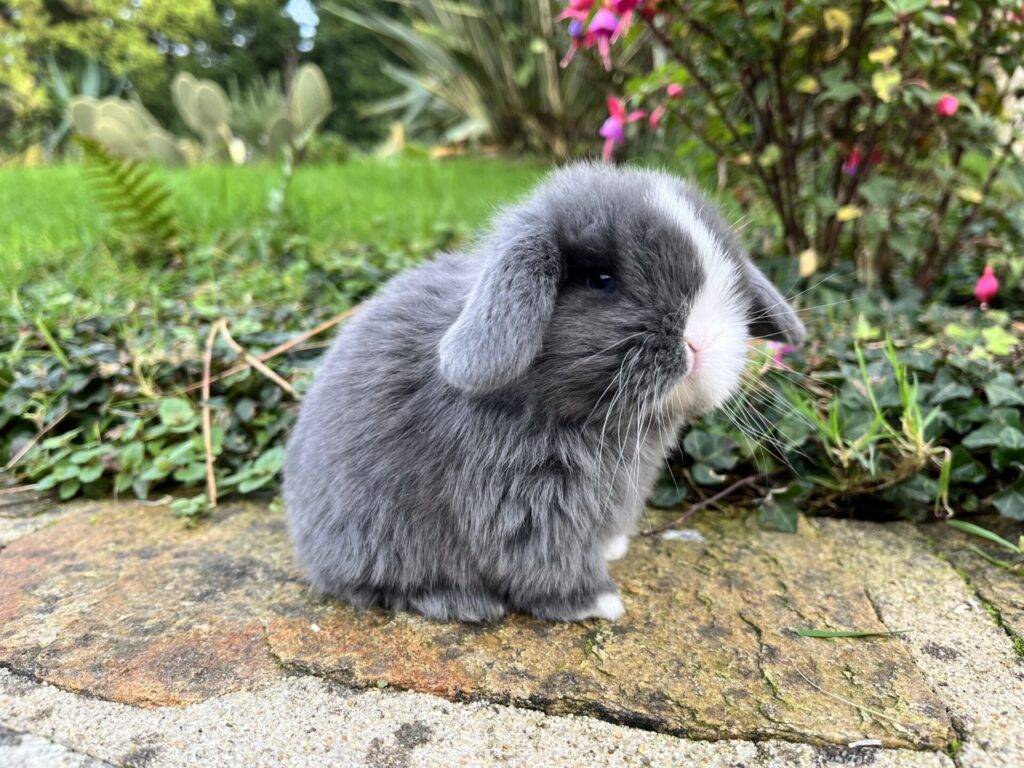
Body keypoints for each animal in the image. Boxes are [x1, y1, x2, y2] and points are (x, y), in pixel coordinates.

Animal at [283, 163, 805, 623]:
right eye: (601, 279)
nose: (701, 342)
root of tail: (307, 540)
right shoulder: (526, 506)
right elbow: (544, 562)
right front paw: (598, 603)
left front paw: (613, 548)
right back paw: (463, 603)